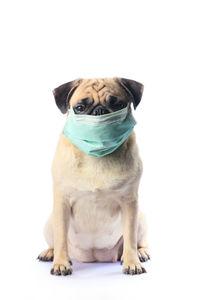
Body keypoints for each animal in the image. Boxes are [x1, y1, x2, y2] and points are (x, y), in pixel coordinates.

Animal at [38, 78, 150, 276]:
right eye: (80, 107)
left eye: (118, 105)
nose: (99, 111)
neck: (97, 157)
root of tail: (95, 257)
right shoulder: (62, 203)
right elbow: (60, 239)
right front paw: (60, 263)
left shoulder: (130, 203)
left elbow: (130, 238)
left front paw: (132, 262)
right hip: (50, 223)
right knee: (55, 241)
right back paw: (50, 253)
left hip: (140, 220)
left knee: (138, 241)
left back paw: (140, 253)